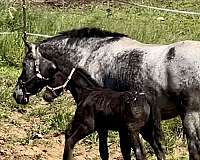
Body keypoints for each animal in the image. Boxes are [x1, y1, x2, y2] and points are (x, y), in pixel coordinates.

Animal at [13, 27, 200, 160]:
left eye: (24, 64)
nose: (17, 94)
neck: (92, 54)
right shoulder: (122, 126)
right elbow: (125, 151)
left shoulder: (102, 124)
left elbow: (104, 151)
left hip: (189, 115)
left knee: (193, 150)